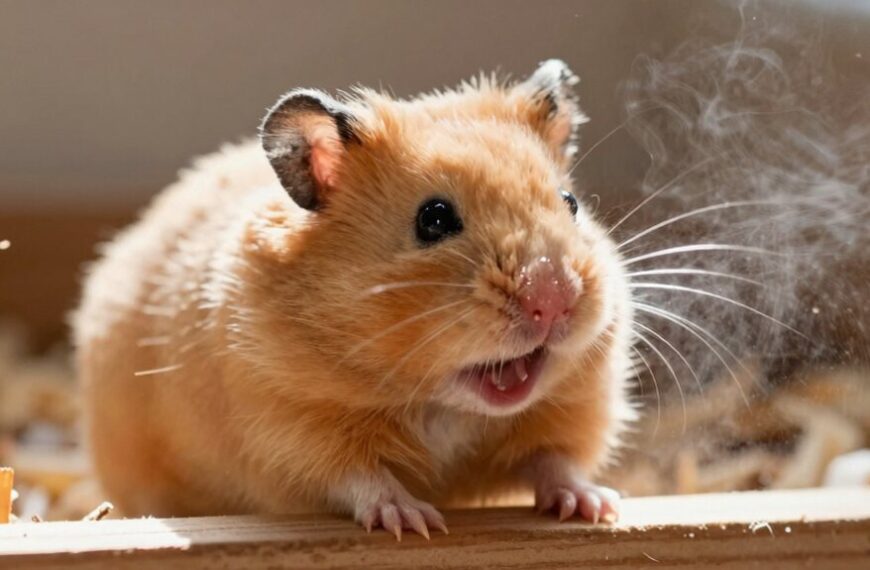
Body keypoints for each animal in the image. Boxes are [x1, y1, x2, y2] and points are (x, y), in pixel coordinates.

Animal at [74, 60, 635, 539]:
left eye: (571, 203)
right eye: (433, 219)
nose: (554, 300)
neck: (442, 404)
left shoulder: (575, 408)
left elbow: (556, 460)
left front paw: (598, 507)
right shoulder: (289, 429)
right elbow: (358, 476)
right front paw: (414, 521)